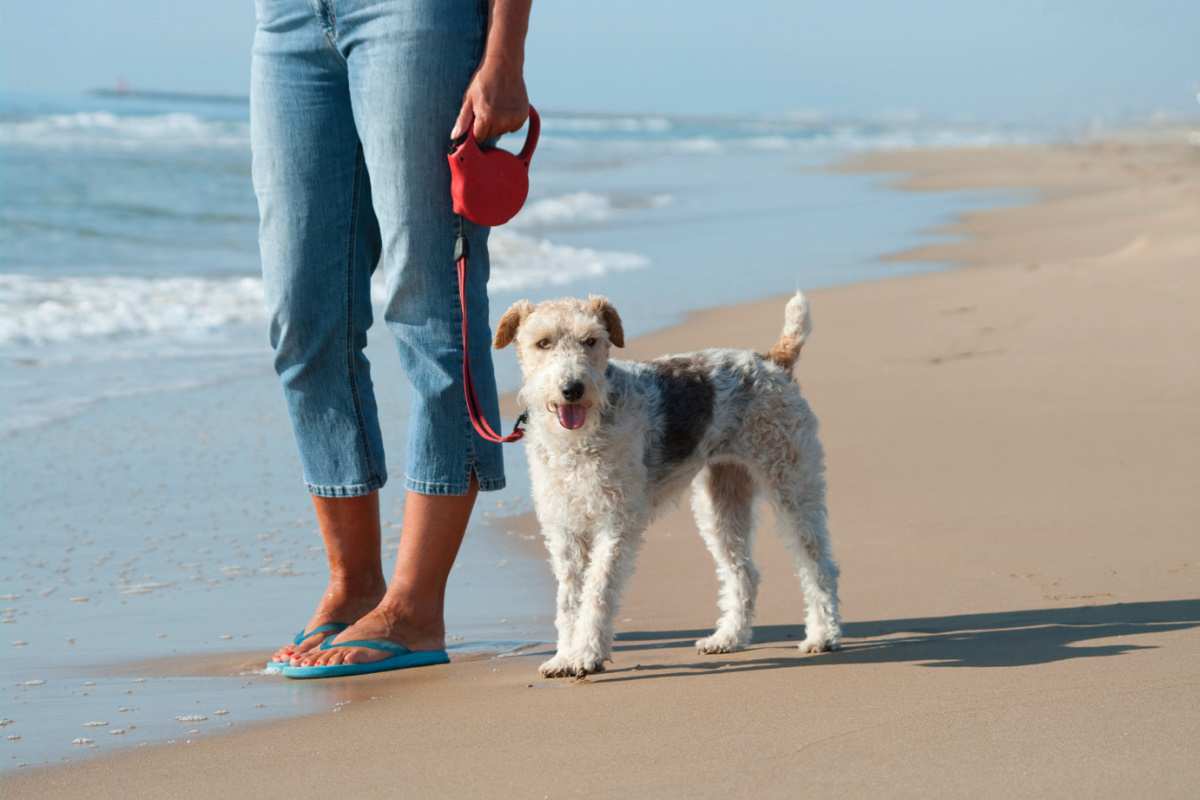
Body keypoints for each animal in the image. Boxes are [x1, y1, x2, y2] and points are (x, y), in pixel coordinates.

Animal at [492, 291, 840, 681]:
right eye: (543, 342)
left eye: (591, 340)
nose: (573, 389)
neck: (577, 440)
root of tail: (772, 360)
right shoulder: (564, 530)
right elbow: (569, 600)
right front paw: (564, 656)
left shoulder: (616, 524)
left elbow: (597, 593)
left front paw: (586, 655)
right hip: (721, 500)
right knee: (743, 572)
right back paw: (727, 638)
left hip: (791, 483)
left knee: (818, 565)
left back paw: (822, 636)